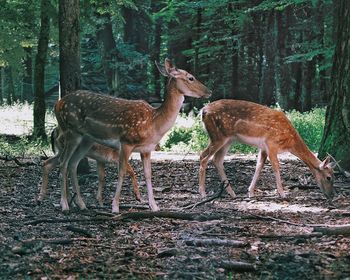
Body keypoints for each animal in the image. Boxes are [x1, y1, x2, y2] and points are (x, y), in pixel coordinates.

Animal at [54, 58, 211, 212]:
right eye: (190, 77)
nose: (209, 91)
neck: (153, 123)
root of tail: (57, 104)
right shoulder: (126, 142)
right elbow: (122, 172)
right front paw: (115, 207)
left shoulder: (147, 149)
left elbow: (148, 175)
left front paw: (154, 206)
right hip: (71, 130)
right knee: (63, 162)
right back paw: (64, 205)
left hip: (86, 139)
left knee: (73, 163)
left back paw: (81, 204)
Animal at [198, 99, 334, 200]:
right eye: (329, 177)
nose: (332, 195)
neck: (290, 143)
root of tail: (203, 111)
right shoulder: (272, 144)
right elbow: (276, 166)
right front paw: (283, 194)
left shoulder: (263, 148)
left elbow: (259, 166)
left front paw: (251, 192)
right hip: (218, 136)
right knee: (203, 156)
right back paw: (203, 193)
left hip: (228, 140)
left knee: (217, 159)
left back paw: (232, 193)